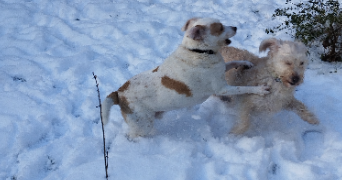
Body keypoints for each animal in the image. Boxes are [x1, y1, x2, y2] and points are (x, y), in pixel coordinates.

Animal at [101, 17, 270, 138]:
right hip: (143, 124)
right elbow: (243, 88)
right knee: (134, 136)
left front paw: (246, 63)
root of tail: (119, 93)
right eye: (220, 27)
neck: (197, 51)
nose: (235, 27)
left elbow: (234, 62)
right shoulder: (223, 89)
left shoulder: (221, 70)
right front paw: (260, 89)